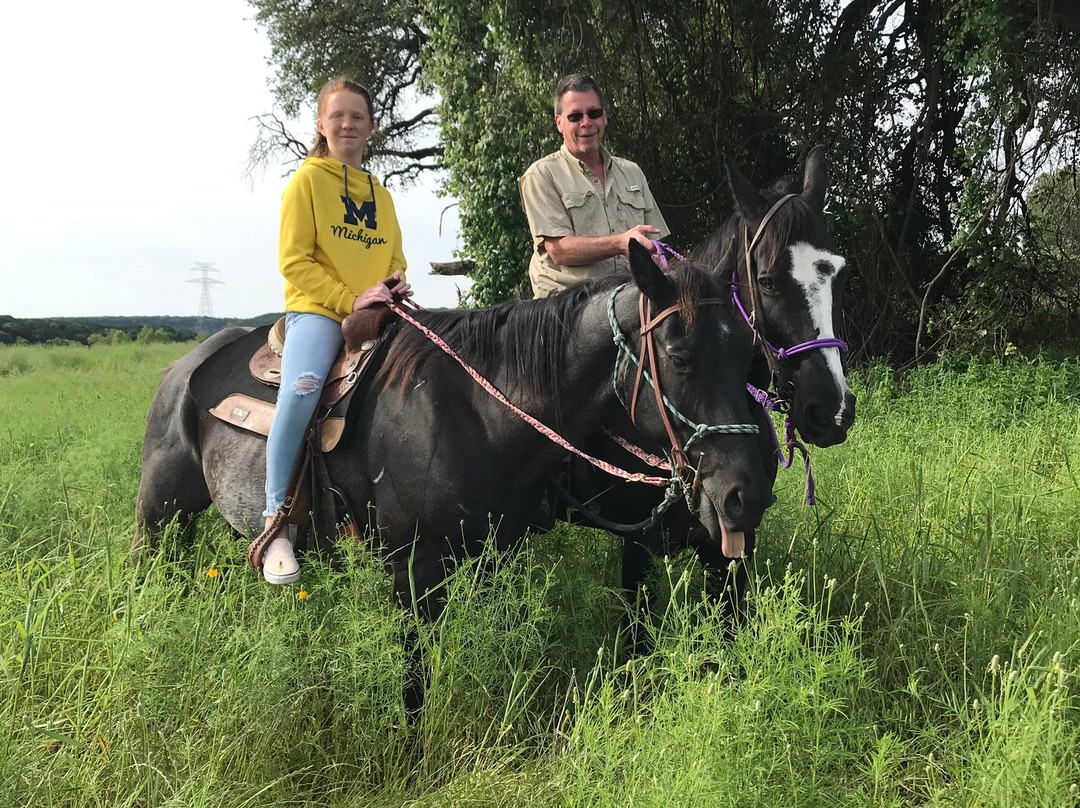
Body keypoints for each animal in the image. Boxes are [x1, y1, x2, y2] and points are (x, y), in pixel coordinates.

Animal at [135, 243, 773, 613]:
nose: (747, 494)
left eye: (747, 353)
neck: (479, 415)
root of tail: (182, 369)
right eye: (679, 356)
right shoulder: (412, 571)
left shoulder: (493, 557)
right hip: (158, 516)